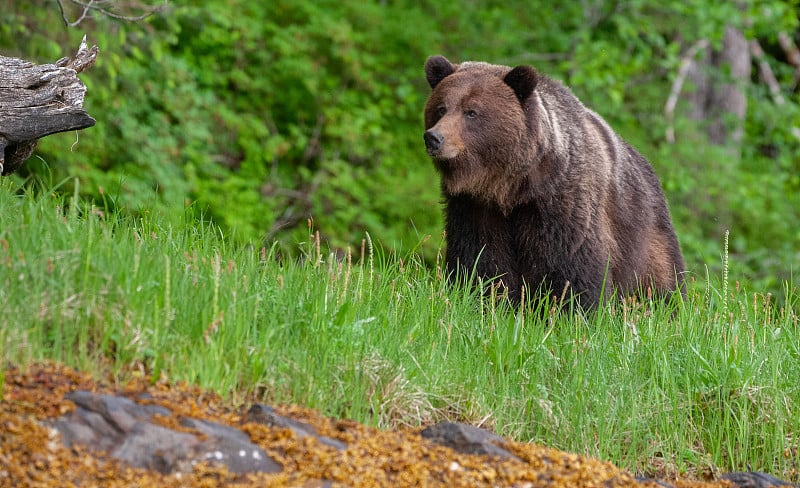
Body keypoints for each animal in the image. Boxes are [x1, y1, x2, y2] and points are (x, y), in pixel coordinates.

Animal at [422, 56, 684, 308]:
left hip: (644, 228)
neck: (510, 186)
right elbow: (481, 258)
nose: (434, 138)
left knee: (660, 278)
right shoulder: (475, 207)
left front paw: (571, 308)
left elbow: (571, 265)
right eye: (441, 108)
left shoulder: (561, 201)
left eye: (472, 112)